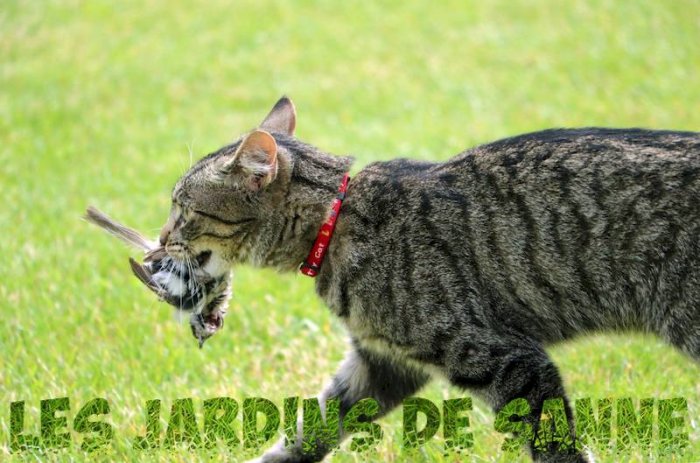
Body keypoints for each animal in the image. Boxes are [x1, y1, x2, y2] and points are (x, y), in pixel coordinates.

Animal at [144, 96, 700, 462]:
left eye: (183, 209)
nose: (159, 239)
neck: (337, 221)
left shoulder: (508, 361)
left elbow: (554, 445)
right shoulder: (380, 365)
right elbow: (308, 431)